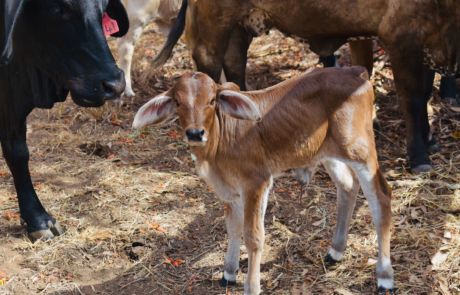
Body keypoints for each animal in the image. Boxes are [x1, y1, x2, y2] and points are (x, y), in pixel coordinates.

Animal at [0, 0, 129, 243]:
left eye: (103, 8)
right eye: (60, 8)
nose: (114, 84)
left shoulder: (12, 99)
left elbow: (18, 153)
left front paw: (37, 218)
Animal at [134, 67, 396, 295]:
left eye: (211, 100)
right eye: (178, 102)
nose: (195, 133)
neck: (217, 147)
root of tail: (354, 71)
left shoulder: (256, 182)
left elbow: (253, 237)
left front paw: (252, 287)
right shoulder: (228, 191)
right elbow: (232, 228)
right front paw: (228, 273)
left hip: (360, 150)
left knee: (381, 198)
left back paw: (385, 276)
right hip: (326, 152)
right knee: (347, 186)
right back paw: (336, 251)